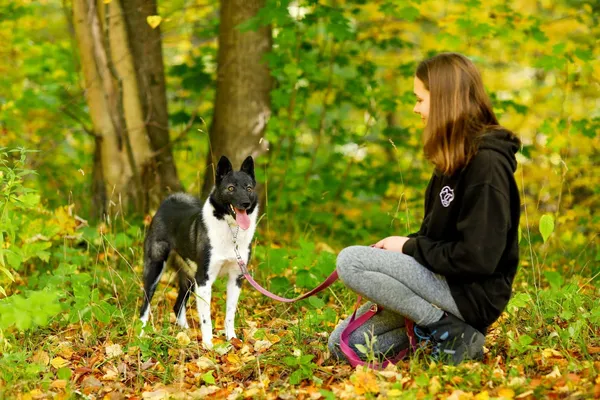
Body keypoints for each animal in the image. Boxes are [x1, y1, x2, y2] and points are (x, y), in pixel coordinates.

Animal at [140, 155, 258, 348]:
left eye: (249, 188)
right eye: (231, 188)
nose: (245, 204)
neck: (231, 231)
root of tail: (169, 202)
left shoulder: (236, 278)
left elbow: (230, 314)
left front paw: (232, 339)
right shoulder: (204, 279)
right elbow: (206, 318)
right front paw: (209, 344)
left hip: (189, 277)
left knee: (177, 306)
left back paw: (186, 333)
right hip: (155, 268)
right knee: (145, 304)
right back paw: (140, 334)